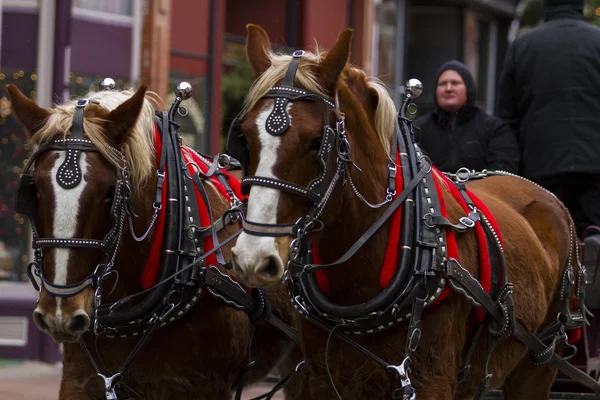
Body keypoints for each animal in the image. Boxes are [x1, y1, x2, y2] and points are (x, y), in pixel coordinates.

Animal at [227, 25, 592, 400]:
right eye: (245, 137)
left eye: (317, 141)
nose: (253, 258)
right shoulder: (323, 378)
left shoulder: (431, 378)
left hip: (538, 365)